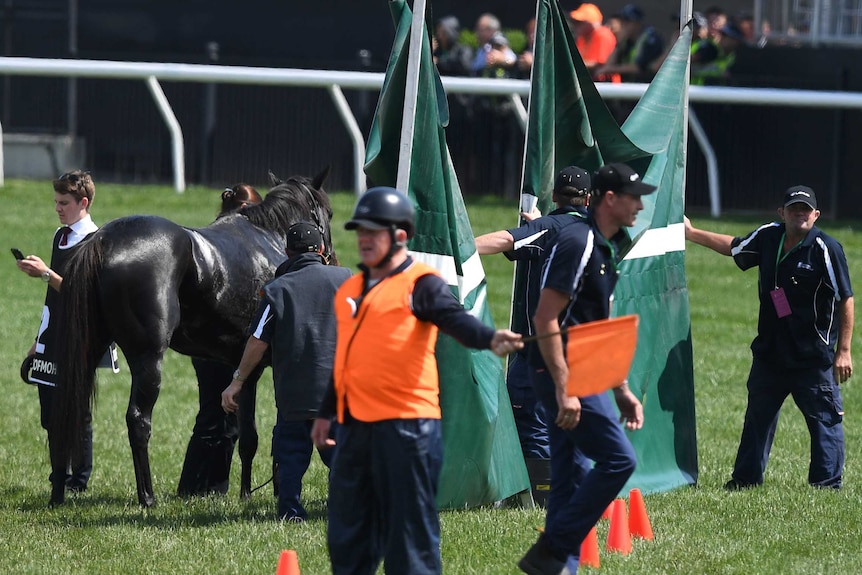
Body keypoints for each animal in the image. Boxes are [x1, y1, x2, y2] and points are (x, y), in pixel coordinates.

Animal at [49, 169, 336, 506]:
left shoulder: (241, 366)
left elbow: (247, 437)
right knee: (138, 420)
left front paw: (246, 493)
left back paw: (58, 493)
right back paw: (147, 497)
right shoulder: (264, 365)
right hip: (148, 358)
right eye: (328, 212)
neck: (268, 237)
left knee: (67, 411)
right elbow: (268, 434)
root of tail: (103, 241)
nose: (332, 257)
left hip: (87, 351)